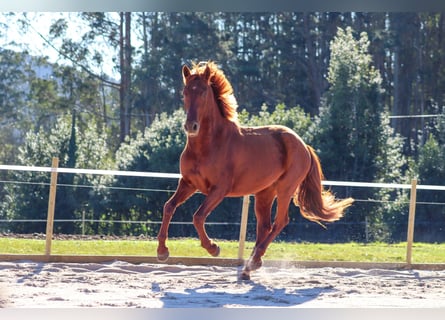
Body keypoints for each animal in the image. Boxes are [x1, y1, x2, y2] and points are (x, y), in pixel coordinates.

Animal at [157, 60, 354, 280]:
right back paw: (251, 265)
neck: (209, 145)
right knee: (265, 226)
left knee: (280, 222)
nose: (191, 126)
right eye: (185, 92)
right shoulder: (188, 183)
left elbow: (198, 217)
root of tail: (304, 145)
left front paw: (213, 248)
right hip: (264, 193)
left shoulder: (219, 190)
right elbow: (169, 207)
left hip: (285, 189)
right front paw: (162, 252)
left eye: (203, 92)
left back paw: (250, 264)